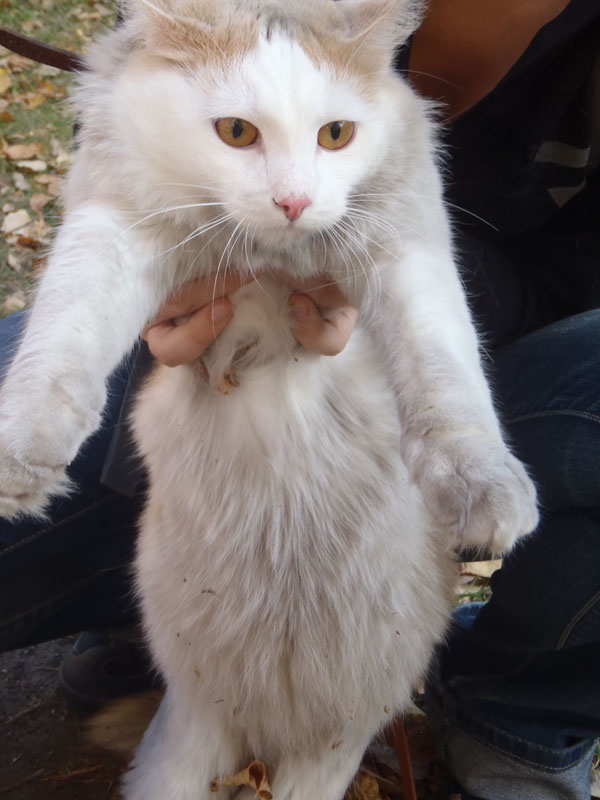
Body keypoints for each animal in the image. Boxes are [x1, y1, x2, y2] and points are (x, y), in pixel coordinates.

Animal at [0, 0, 538, 798]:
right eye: (236, 132)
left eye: (336, 135)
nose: (294, 201)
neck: (269, 262)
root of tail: (263, 736)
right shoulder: (112, 228)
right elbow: (63, 334)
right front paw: (22, 455)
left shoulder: (405, 249)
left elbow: (448, 374)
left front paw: (486, 491)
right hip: (182, 750)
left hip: (333, 747)